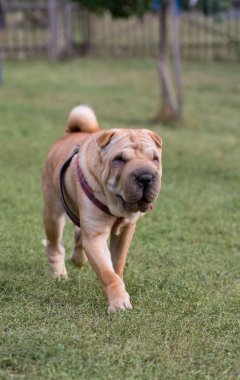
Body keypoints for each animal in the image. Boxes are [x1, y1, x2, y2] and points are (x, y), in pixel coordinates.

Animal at [41, 105, 163, 314]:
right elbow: (108, 273)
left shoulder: (126, 230)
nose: (146, 177)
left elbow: (117, 264)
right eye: (119, 159)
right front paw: (119, 302)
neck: (117, 205)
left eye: (155, 158)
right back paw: (59, 274)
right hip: (53, 214)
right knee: (55, 245)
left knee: (78, 236)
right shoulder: (95, 236)